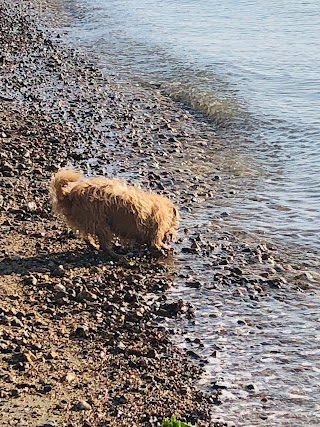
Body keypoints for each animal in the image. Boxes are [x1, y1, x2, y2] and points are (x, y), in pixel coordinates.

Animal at [50, 169, 180, 260]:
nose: (173, 236)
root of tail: (70, 196)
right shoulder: (156, 229)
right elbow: (155, 243)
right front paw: (163, 248)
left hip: (88, 221)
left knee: (87, 236)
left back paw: (94, 246)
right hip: (101, 223)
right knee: (105, 245)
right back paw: (117, 255)